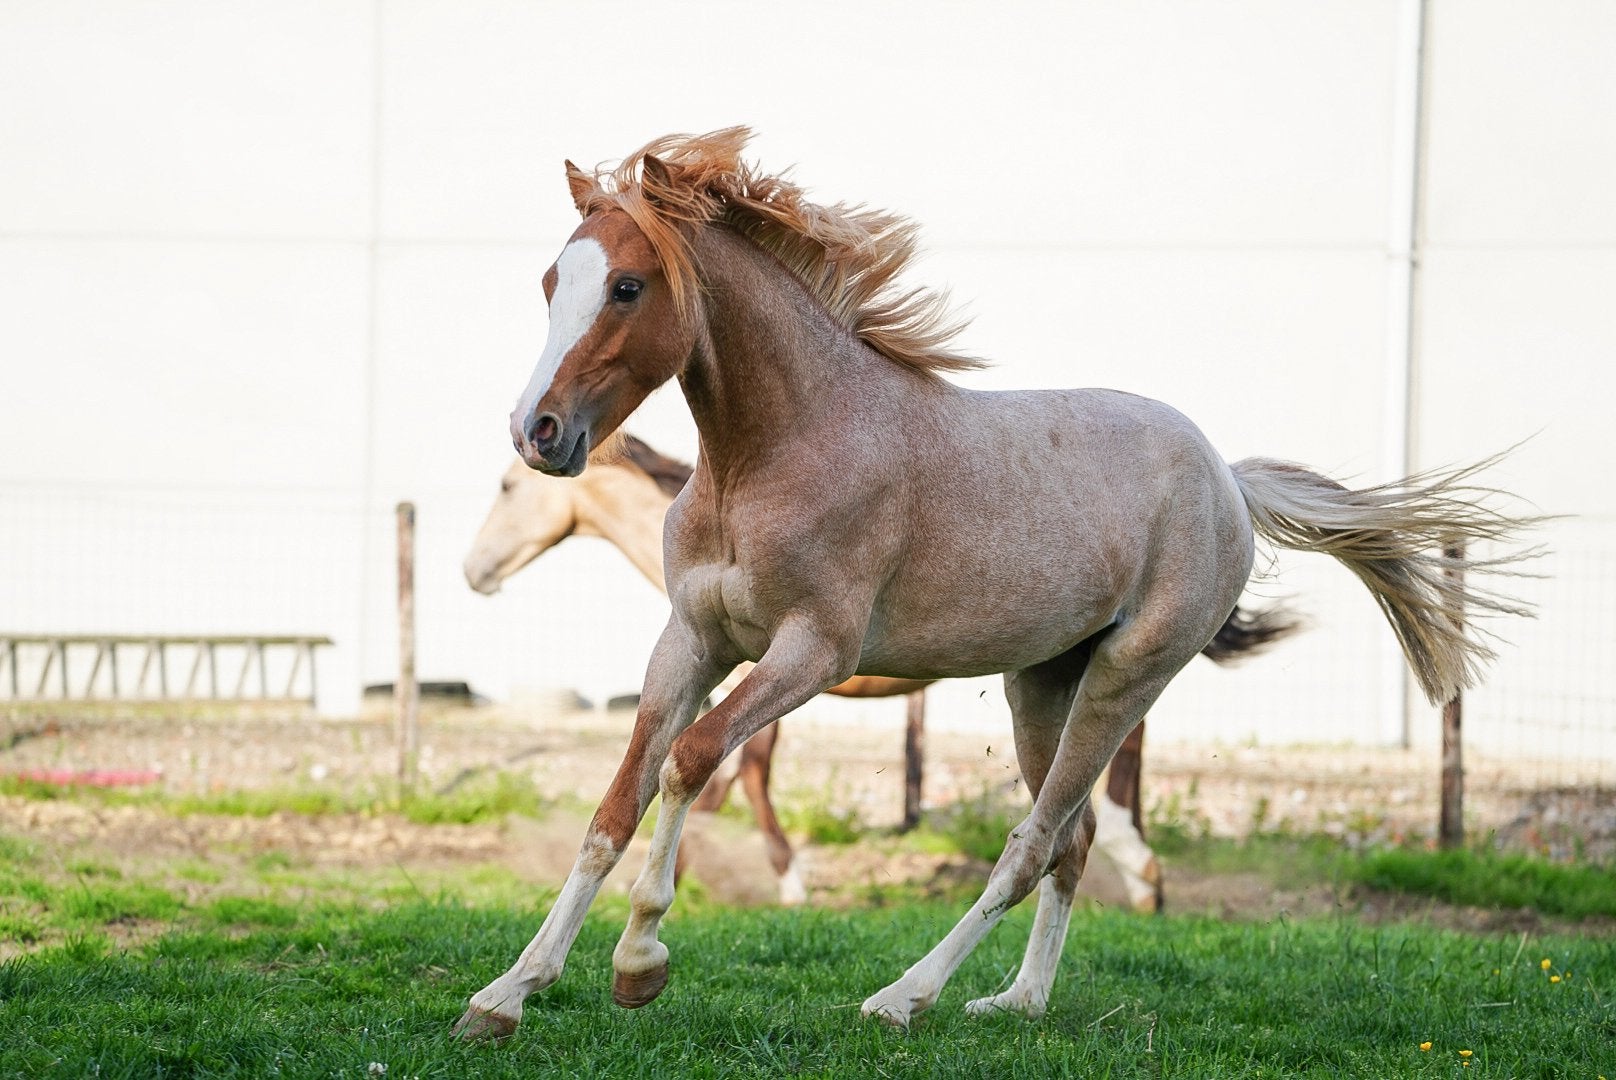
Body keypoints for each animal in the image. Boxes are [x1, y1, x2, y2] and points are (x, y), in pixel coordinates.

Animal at [463, 437, 1288, 910]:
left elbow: (738, 765)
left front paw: (773, 879)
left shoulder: (796, 661)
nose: (473, 572)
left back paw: (1141, 876)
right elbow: (732, 767)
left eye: (504, 488)